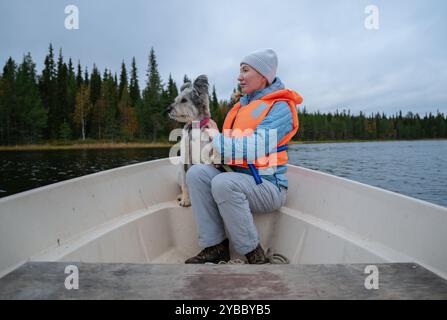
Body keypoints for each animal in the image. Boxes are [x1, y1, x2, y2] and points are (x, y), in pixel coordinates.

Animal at [166, 74, 215, 206]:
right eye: (176, 99)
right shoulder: (184, 159)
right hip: (179, 172)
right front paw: (185, 199)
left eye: (184, 100)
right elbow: (185, 184)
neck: (194, 127)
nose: (167, 109)